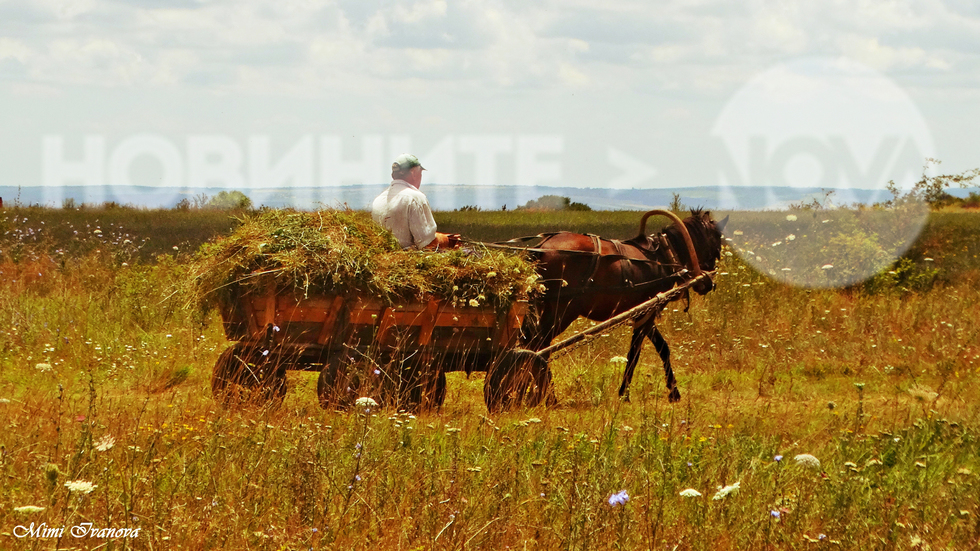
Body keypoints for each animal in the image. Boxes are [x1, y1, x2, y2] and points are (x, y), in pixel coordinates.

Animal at [520, 209, 728, 404]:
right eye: (717, 244)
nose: (708, 284)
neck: (663, 256)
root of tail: (540, 249)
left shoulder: (643, 313)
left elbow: (662, 348)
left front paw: (673, 391)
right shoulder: (647, 314)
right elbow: (635, 353)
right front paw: (625, 394)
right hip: (562, 311)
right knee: (538, 347)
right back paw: (548, 396)